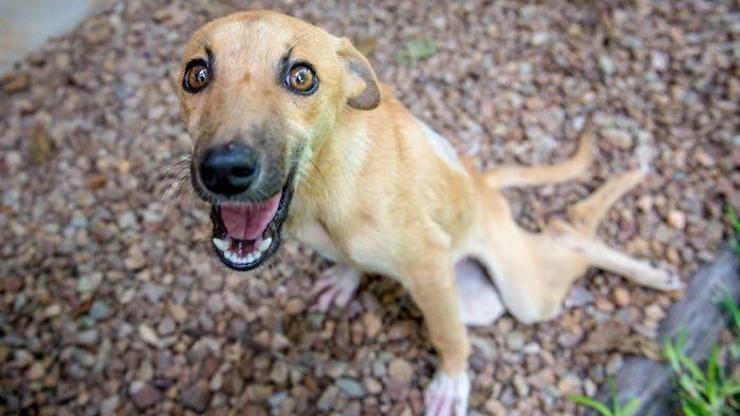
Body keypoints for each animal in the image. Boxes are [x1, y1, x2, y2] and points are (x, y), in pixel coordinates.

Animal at [178, 10, 684, 416]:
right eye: (196, 74)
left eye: (302, 77)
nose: (224, 170)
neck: (323, 185)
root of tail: (484, 185)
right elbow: (350, 261)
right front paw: (344, 279)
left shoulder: (428, 265)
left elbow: (448, 337)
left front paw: (451, 384)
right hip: (480, 301)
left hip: (524, 295)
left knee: (568, 230)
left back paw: (650, 261)